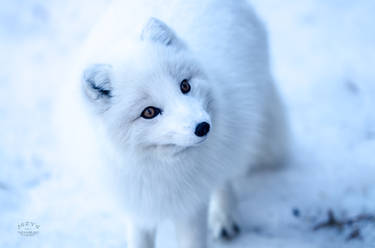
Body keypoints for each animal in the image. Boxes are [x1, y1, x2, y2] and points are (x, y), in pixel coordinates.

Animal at [79, 0, 290, 247]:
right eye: (149, 112)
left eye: (185, 86)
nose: (203, 127)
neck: (159, 168)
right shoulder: (137, 207)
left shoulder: (192, 205)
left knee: (225, 173)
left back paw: (224, 216)